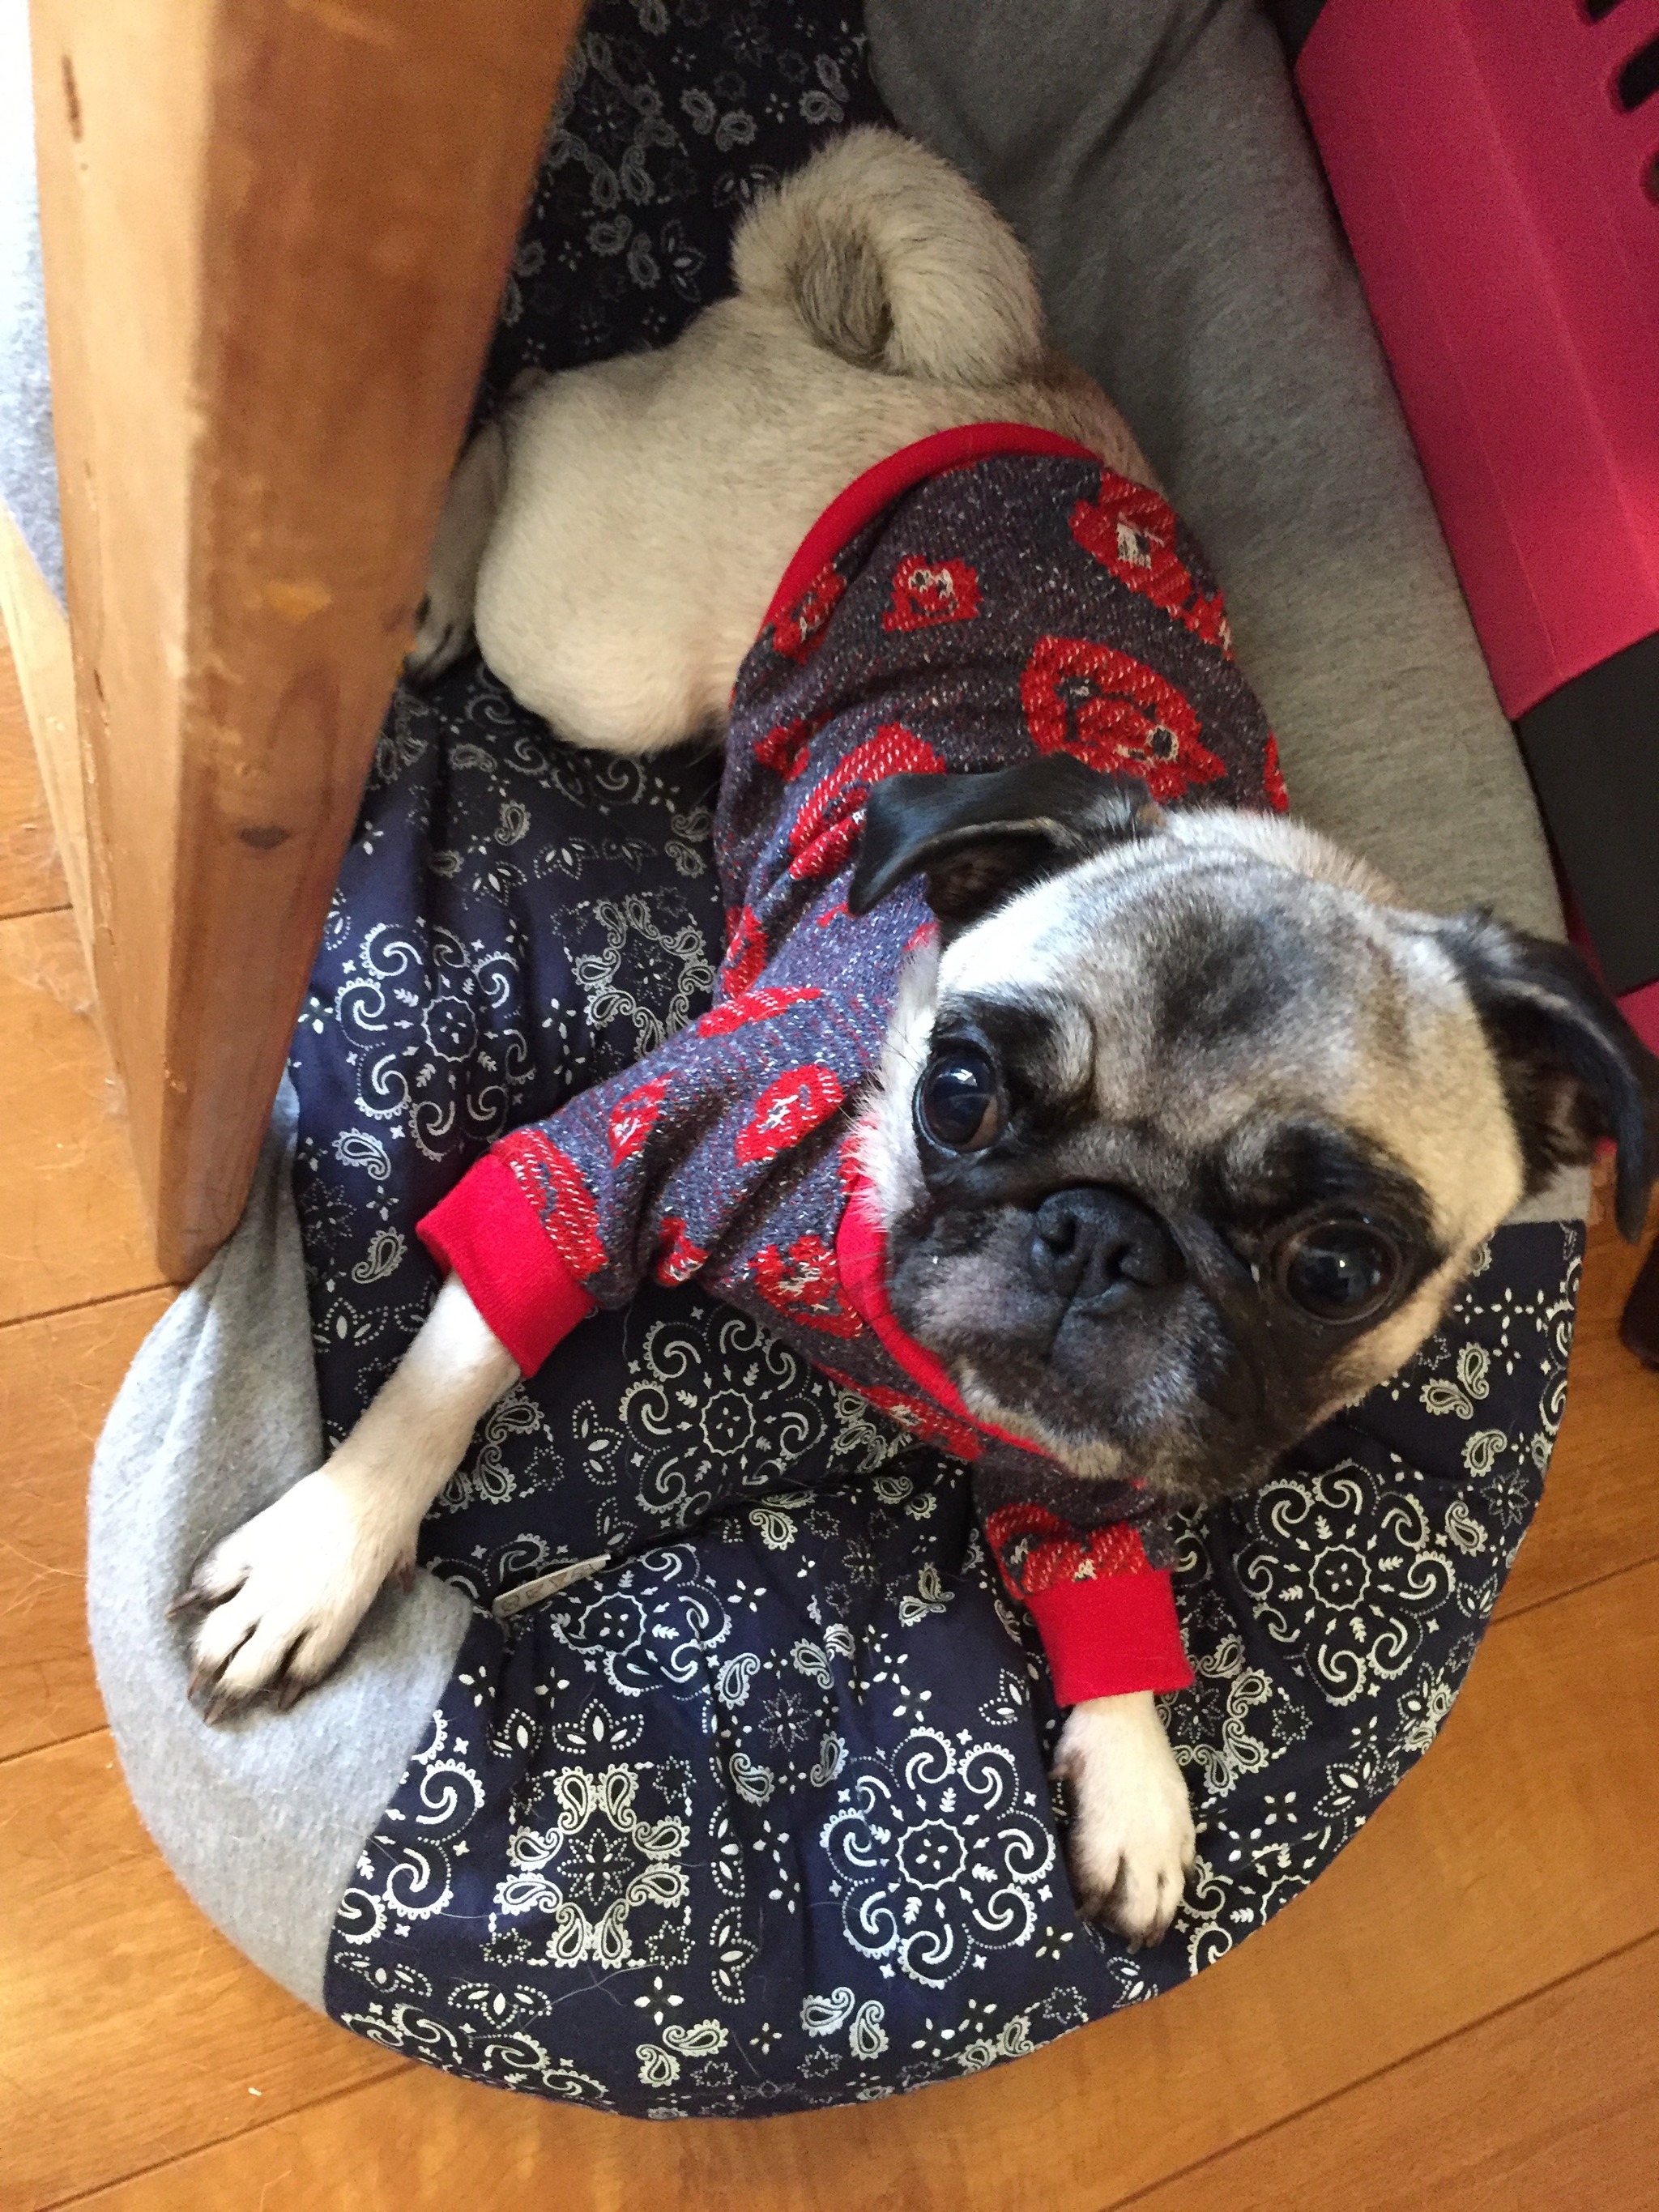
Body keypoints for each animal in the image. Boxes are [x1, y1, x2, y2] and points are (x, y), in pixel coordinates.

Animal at [175, 130, 1658, 1949]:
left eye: (1336, 1266)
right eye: (960, 1091)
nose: (1096, 1234)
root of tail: (925, 365)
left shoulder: (1087, 1467)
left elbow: (1099, 1592)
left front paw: (1132, 1766)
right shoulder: (633, 1144)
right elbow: (455, 1366)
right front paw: (328, 1550)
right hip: (600, 648)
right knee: (522, 403)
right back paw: (438, 570)